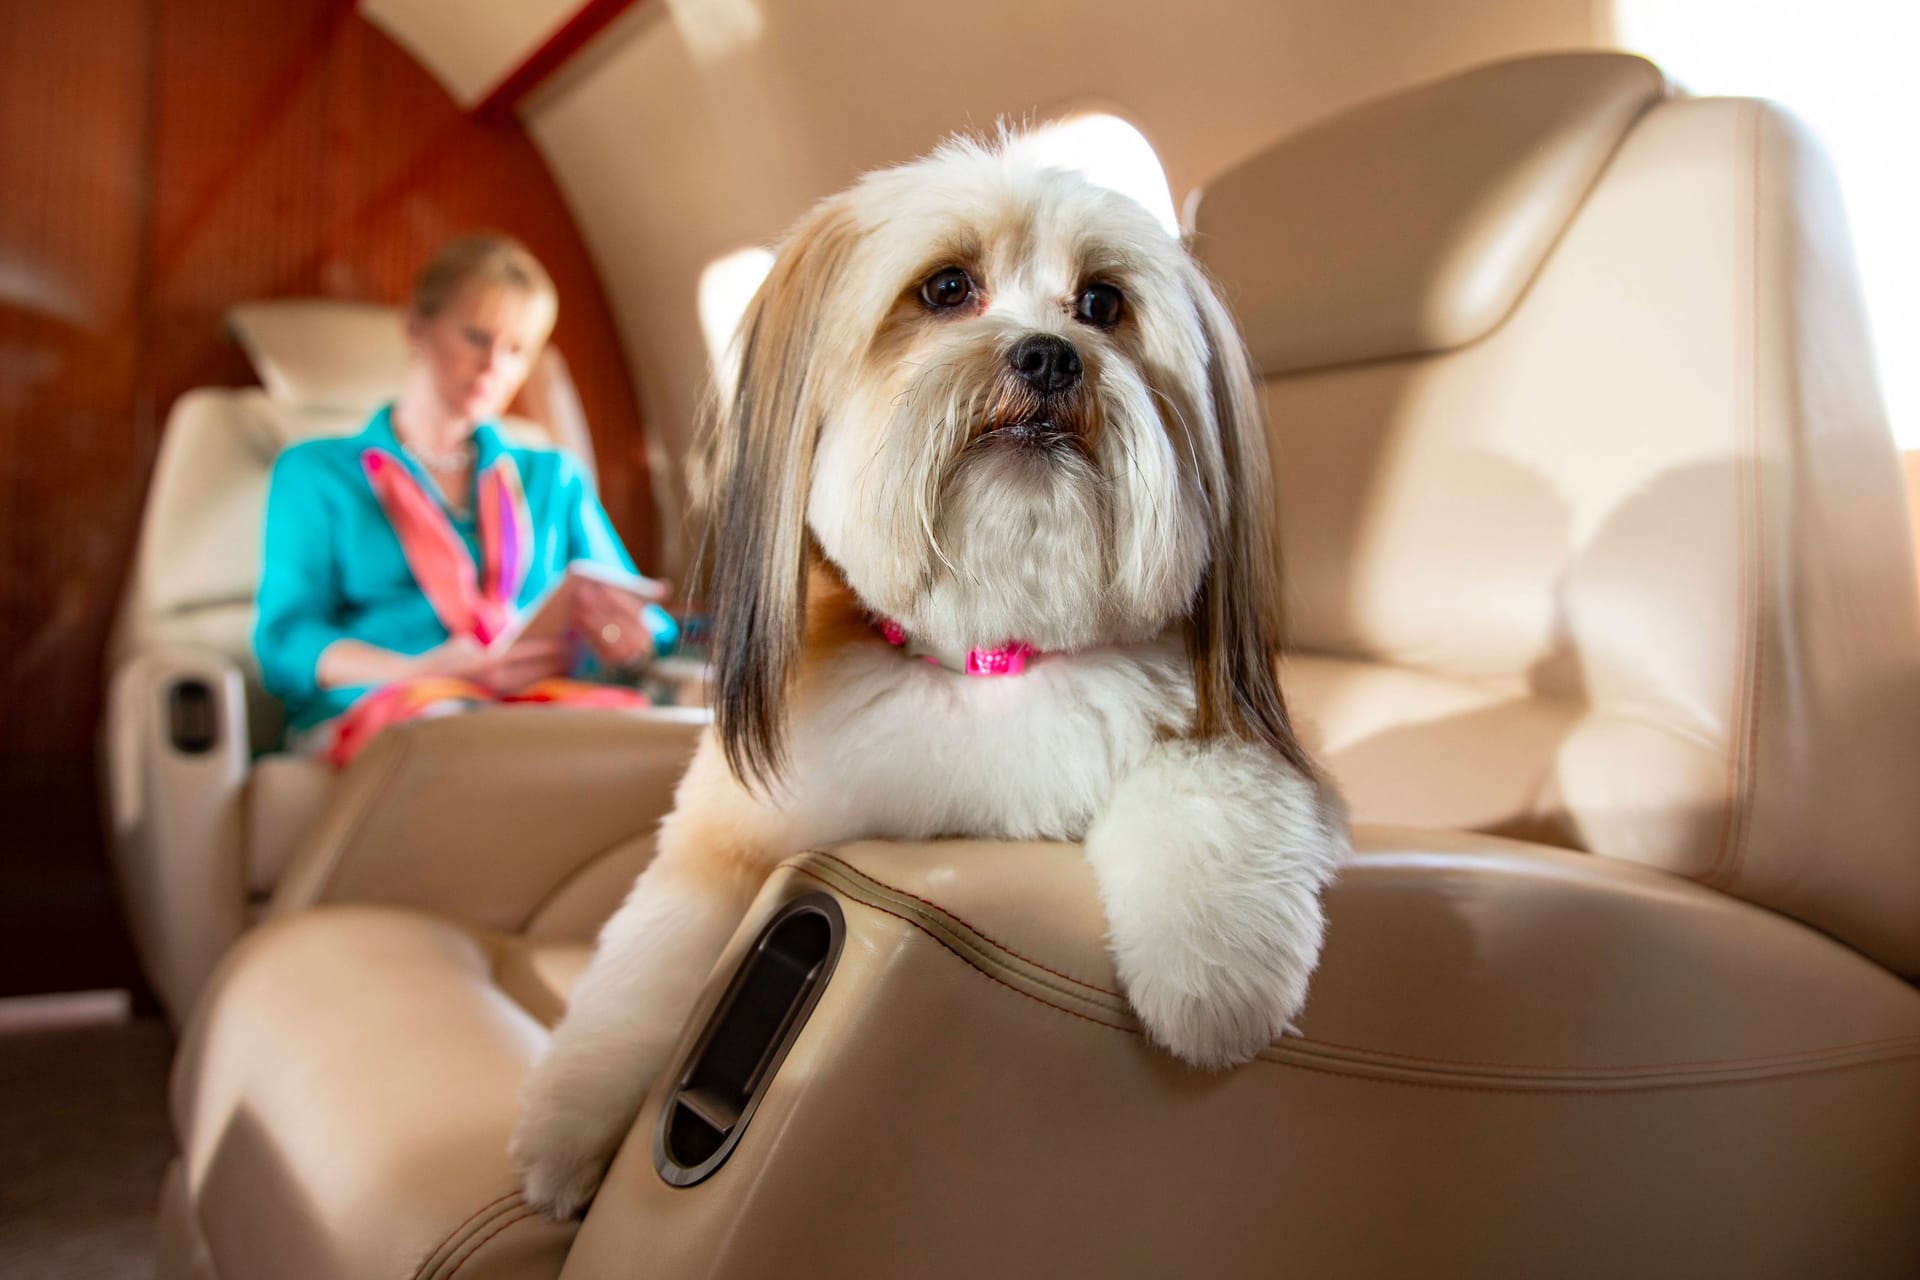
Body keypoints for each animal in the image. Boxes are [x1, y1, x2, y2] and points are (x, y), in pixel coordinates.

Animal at [510, 135, 1351, 1220]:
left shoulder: (1239, 738)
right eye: (947, 287)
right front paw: (570, 1121)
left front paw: (1213, 974)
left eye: (1104, 304)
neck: (988, 653)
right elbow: (647, 966)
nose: (1049, 354)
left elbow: (1211, 785)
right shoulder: (728, 838)